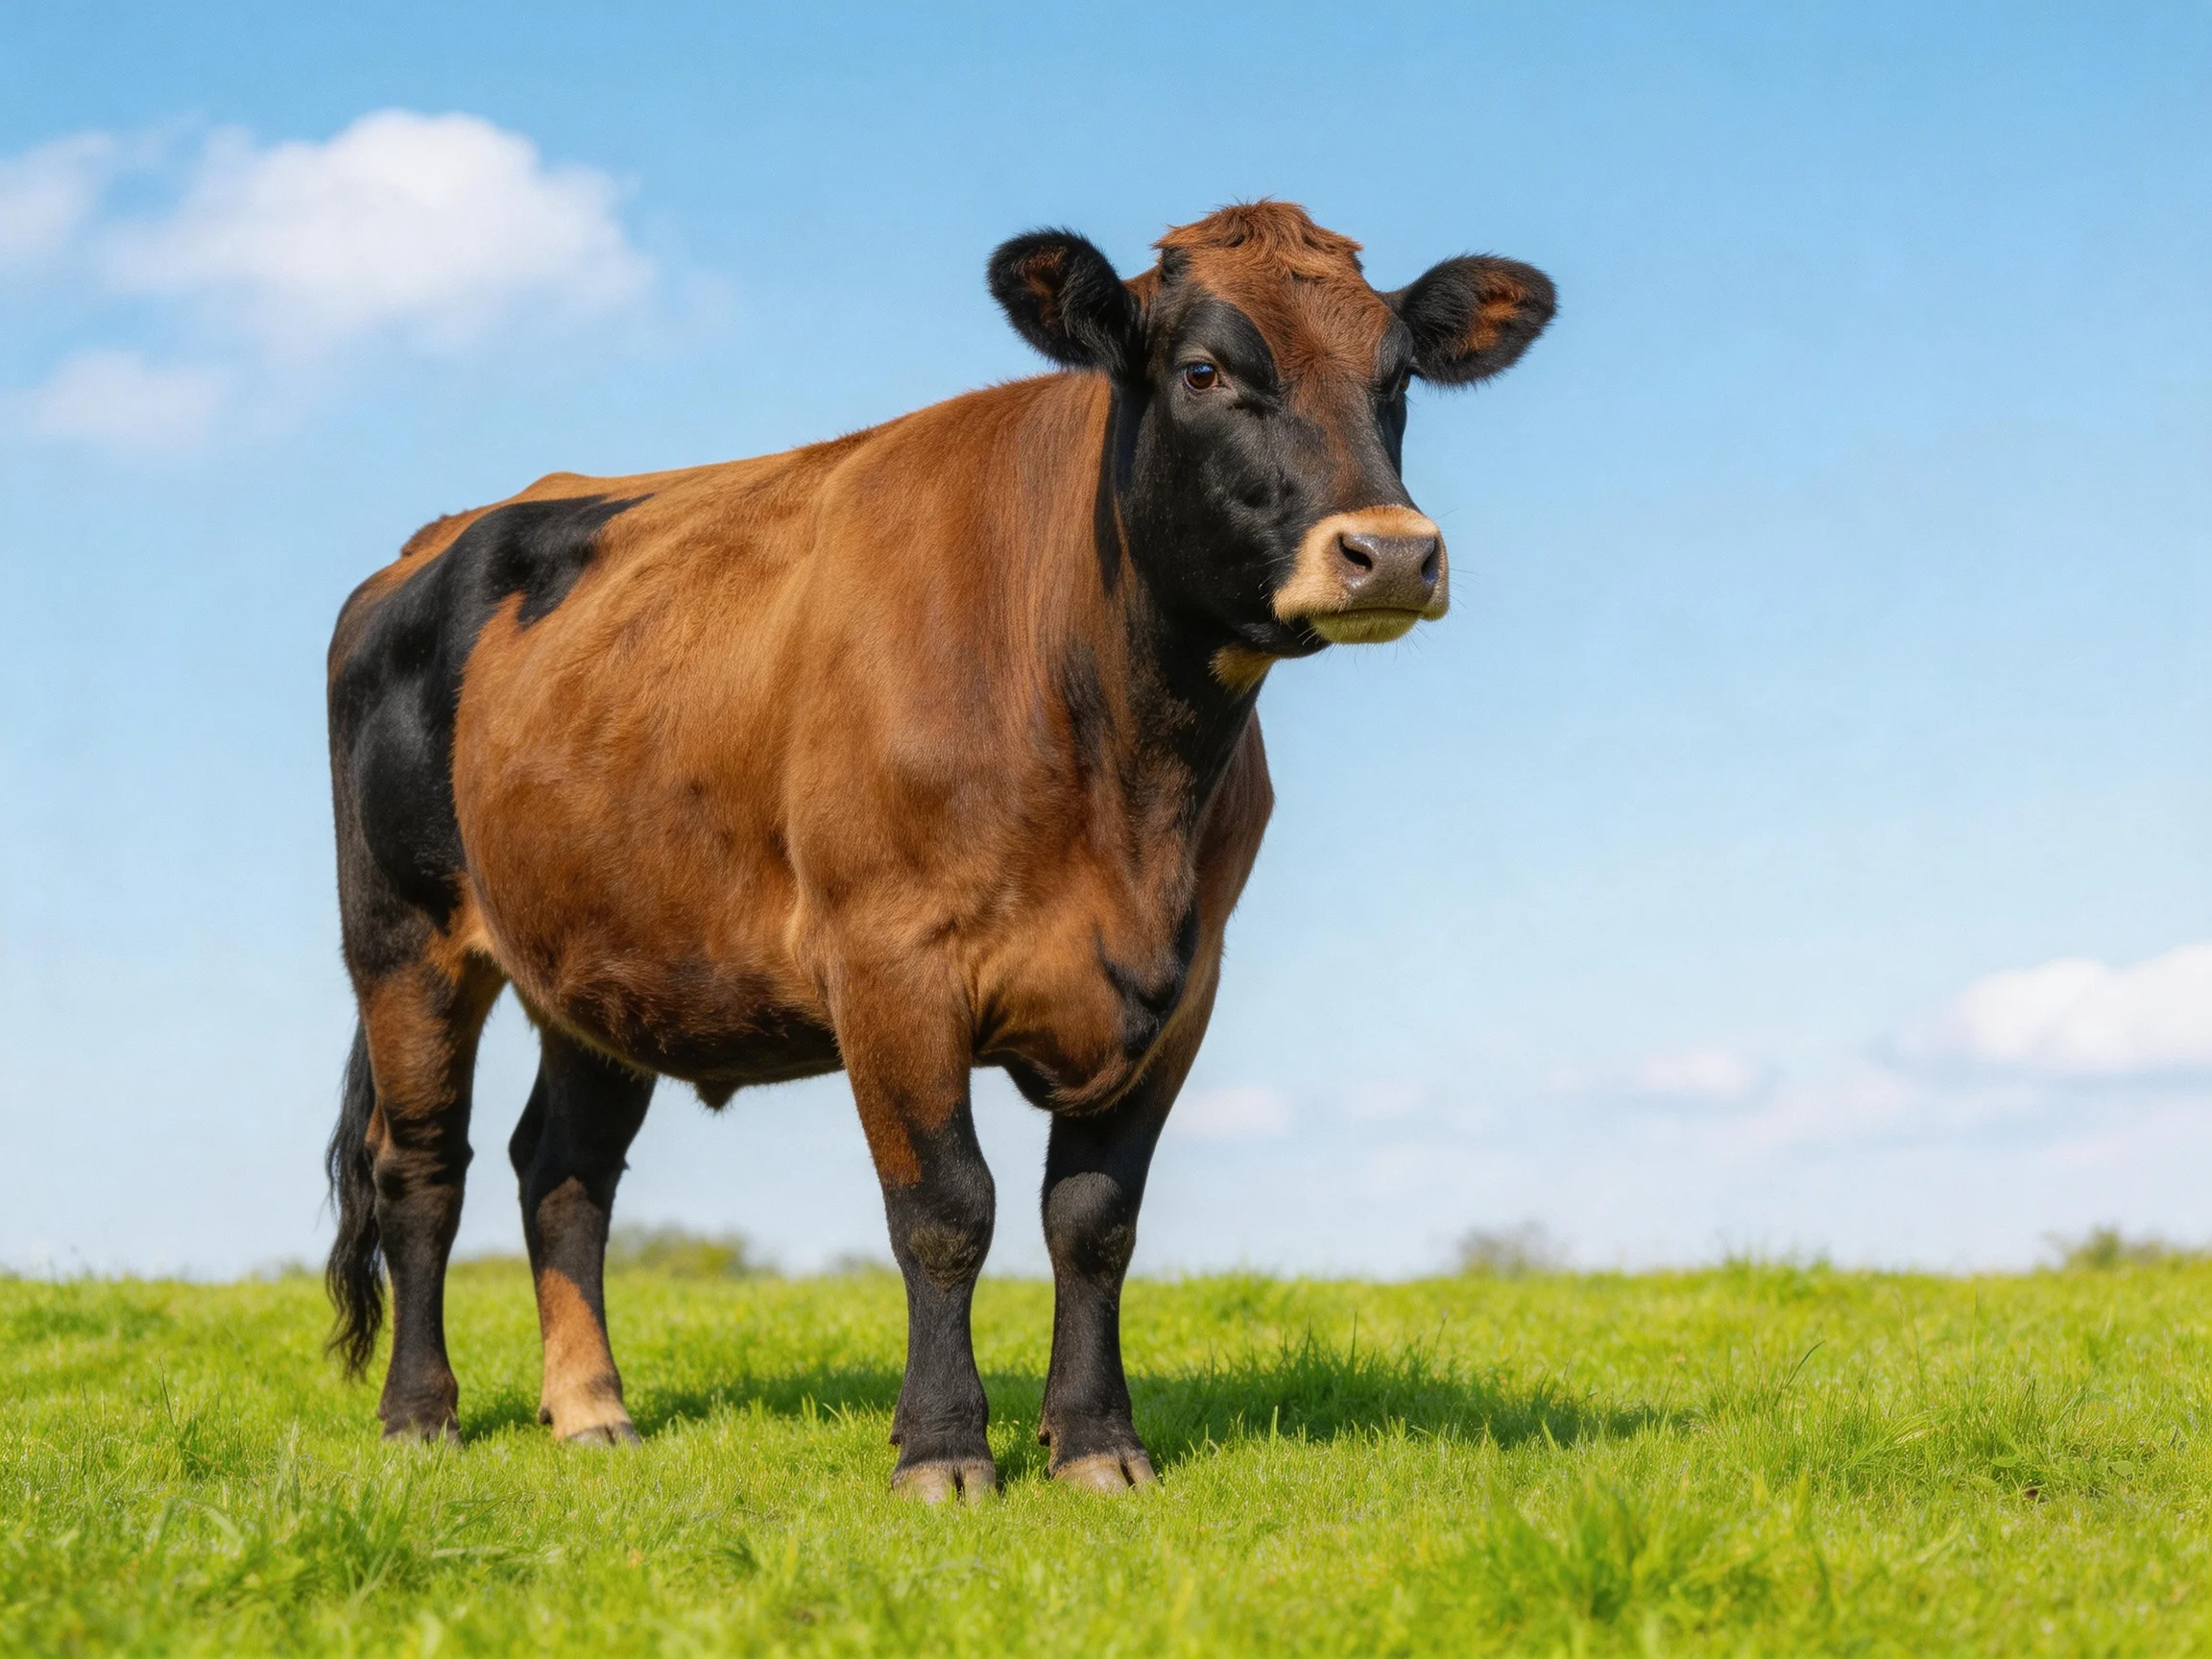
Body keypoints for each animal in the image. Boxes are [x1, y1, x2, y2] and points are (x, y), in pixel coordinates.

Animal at [323, 201, 1553, 1500]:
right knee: (423, 1167)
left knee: (561, 1170)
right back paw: (420, 1414)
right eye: (1205, 371)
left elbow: (1094, 1219)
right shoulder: (888, 959)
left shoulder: (1184, 982)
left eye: (1399, 374)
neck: (1125, 772)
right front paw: (946, 1449)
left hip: (605, 960)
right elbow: (946, 1207)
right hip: (404, 936)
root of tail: (440, 540)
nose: (1392, 552)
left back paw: (592, 1407)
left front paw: (1097, 1443)